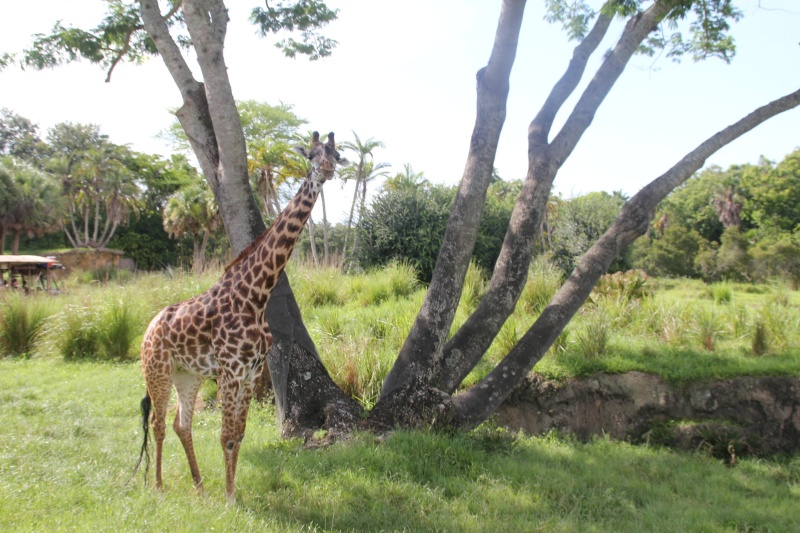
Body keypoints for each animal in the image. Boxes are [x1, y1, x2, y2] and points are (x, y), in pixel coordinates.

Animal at [135, 131, 346, 500]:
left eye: (335, 154)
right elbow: (226, 436)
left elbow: (239, 435)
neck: (256, 295)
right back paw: (159, 487)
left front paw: (230, 492)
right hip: (156, 370)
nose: (326, 169)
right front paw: (230, 498)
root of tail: (148, 328)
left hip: (187, 375)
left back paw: (200, 487)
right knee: (158, 423)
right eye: (311, 155)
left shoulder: (250, 372)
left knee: (181, 423)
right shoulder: (231, 372)